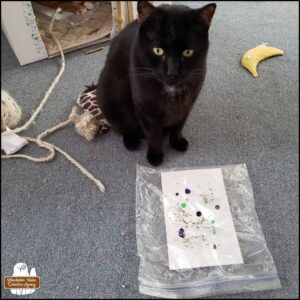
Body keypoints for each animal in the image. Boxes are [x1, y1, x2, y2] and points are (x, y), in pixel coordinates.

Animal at [96, 1, 216, 165]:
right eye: (158, 50)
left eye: (188, 52)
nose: (172, 72)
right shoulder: (146, 108)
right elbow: (153, 135)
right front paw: (155, 156)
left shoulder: (186, 105)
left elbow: (178, 126)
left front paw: (177, 142)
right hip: (107, 97)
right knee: (123, 126)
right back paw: (131, 141)